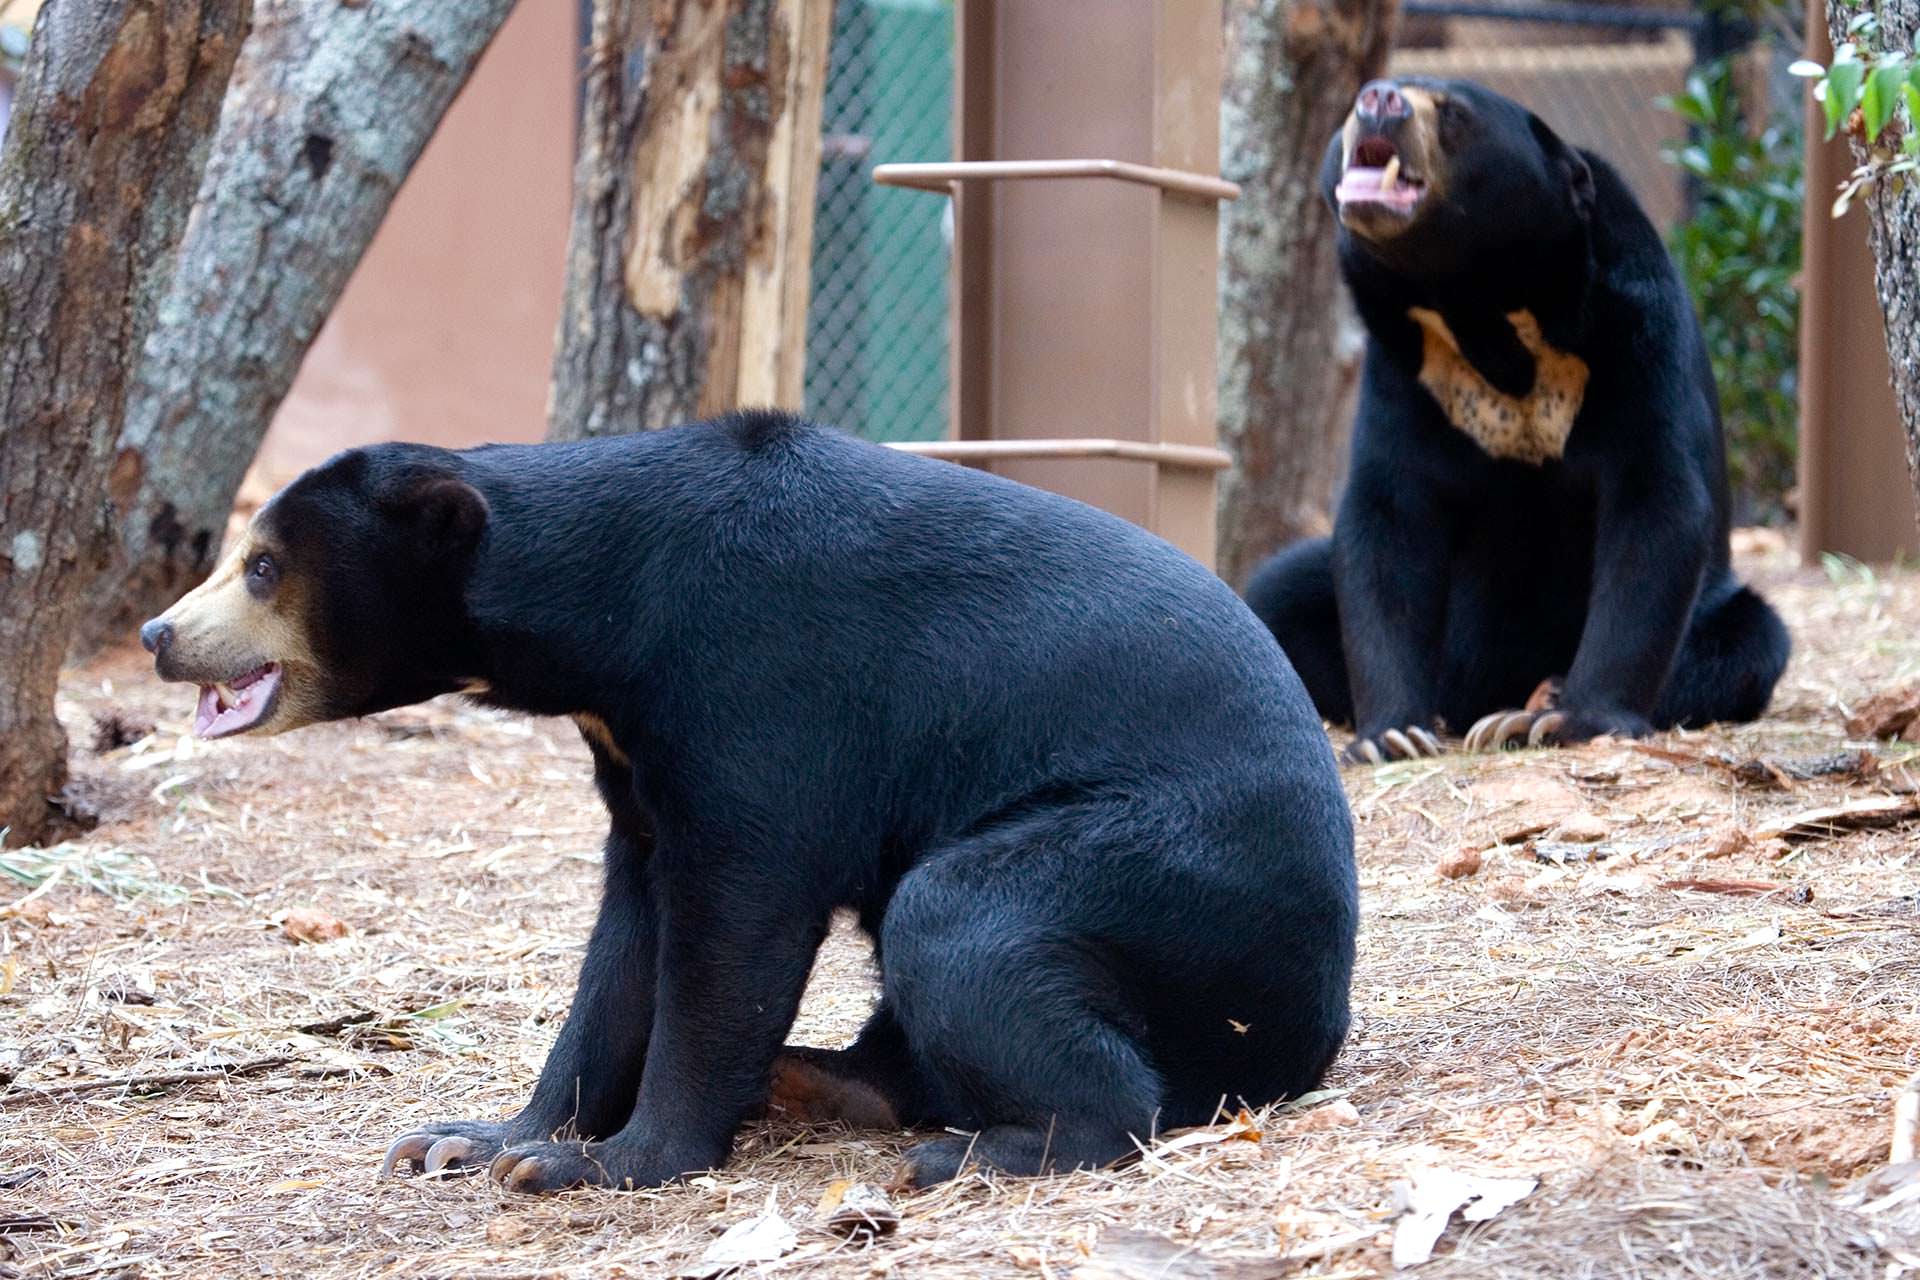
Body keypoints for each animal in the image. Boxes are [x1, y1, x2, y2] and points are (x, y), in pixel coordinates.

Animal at [142, 416, 1359, 1197]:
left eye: (261, 566)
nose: (161, 634)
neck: (605, 619)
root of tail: (1316, 1012)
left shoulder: (762, 687)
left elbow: (735, 920)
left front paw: (605, 1160)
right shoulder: (634, 755)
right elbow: (627, 941)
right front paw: (475, 1138)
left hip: (1164, 867)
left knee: (968, 922)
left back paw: (982, 1149)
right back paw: (821, 1079)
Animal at [1236, 77, 1789, 759]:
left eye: (1453, 112)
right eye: (1362, 100)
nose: (1379, 99)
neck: (1480, 304)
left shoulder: (1638, 341)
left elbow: (1656, 507)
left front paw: (1568, 718)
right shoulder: (1405, 373)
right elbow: (1386, 524)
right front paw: (1391, 735)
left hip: (1725, 612)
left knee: (1749, 641)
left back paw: (1528, 702)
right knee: (1275, 592)